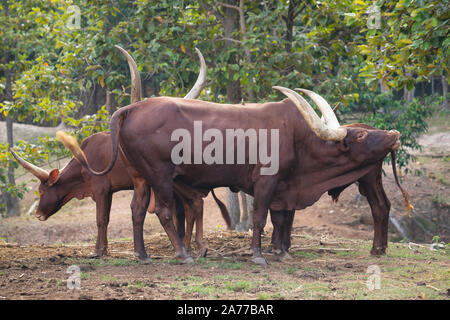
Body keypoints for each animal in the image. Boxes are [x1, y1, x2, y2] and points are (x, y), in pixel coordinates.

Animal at [11, 46, 232, 262]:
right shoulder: (111, 190)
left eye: (41, 191)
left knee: (190, 205)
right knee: (190, 205)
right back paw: (189, 246)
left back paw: (190, 247)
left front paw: (98, 250)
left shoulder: (101, 188)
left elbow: (102, 219)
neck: (85, 158)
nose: (38, 214)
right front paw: (107, 248)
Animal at [59, 82, 412, 262]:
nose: (394, 133)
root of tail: (132, 107)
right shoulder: (266, 182)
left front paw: (281, 251)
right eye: (361, 135)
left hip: (141, 177)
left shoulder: (284, 188)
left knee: (136, 211)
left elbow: (281, 219)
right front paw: (259, 255)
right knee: (162, 211)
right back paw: (183, 254)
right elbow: (260, 218)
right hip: (160, 176)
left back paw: (143, 255)